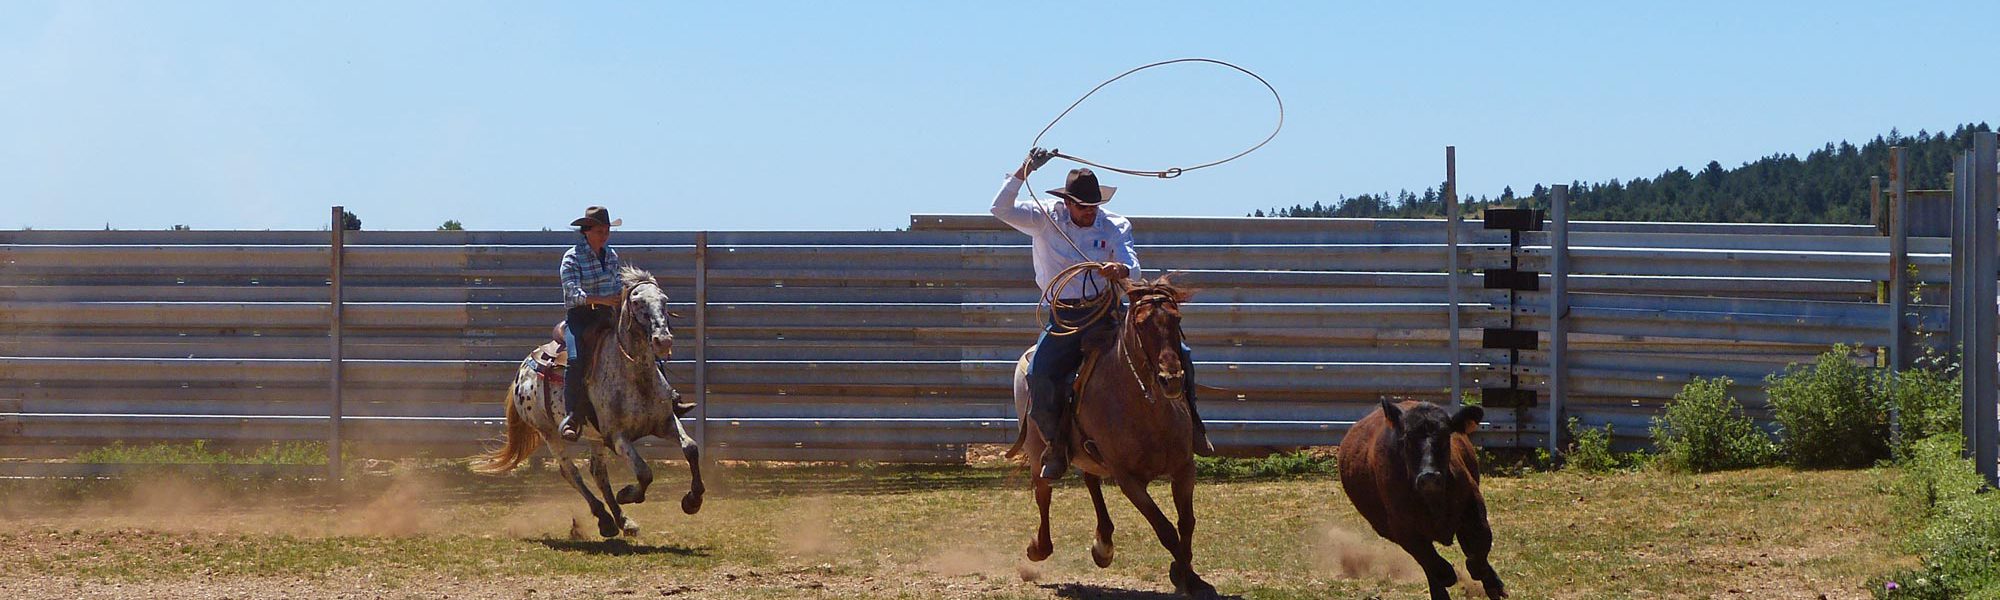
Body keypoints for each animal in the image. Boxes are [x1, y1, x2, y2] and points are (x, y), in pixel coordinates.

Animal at [1000, 278, 1216, 600]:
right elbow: (1164, 528)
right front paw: (1185, 577)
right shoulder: (1127, 479)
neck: (1146, 408)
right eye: (1141, 324)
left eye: (1176, 319)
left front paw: (1188, 574)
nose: (1171, 380)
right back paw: (1039, 548)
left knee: (1091, 481)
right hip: (1038, 450)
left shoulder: (1184, 468)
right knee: (1043, 493)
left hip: (1089, 454)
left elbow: (1186, 522)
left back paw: (1103, 544)